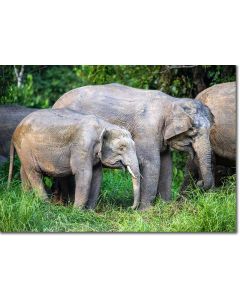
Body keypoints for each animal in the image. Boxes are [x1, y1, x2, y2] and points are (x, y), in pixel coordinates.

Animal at [7, 109, 141, 210]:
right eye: (122, 148)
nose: (129, 208)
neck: (104, 125)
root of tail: (15, 131)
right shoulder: (82, 146)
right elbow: (84, 175)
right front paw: (77, 211)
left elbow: (97, 176)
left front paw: (90, 211)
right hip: (25, 148)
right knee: (34, 172)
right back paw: (45, 205)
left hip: (24, 151)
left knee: (25, 170)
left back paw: (27, 199)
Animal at [53, 82, 215, 209]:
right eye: (193, 132)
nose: (200, 183)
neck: (172, 102)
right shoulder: (147, 131)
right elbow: (152, 164)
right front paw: (146, 211)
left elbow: (166, 164)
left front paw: (165, 206)